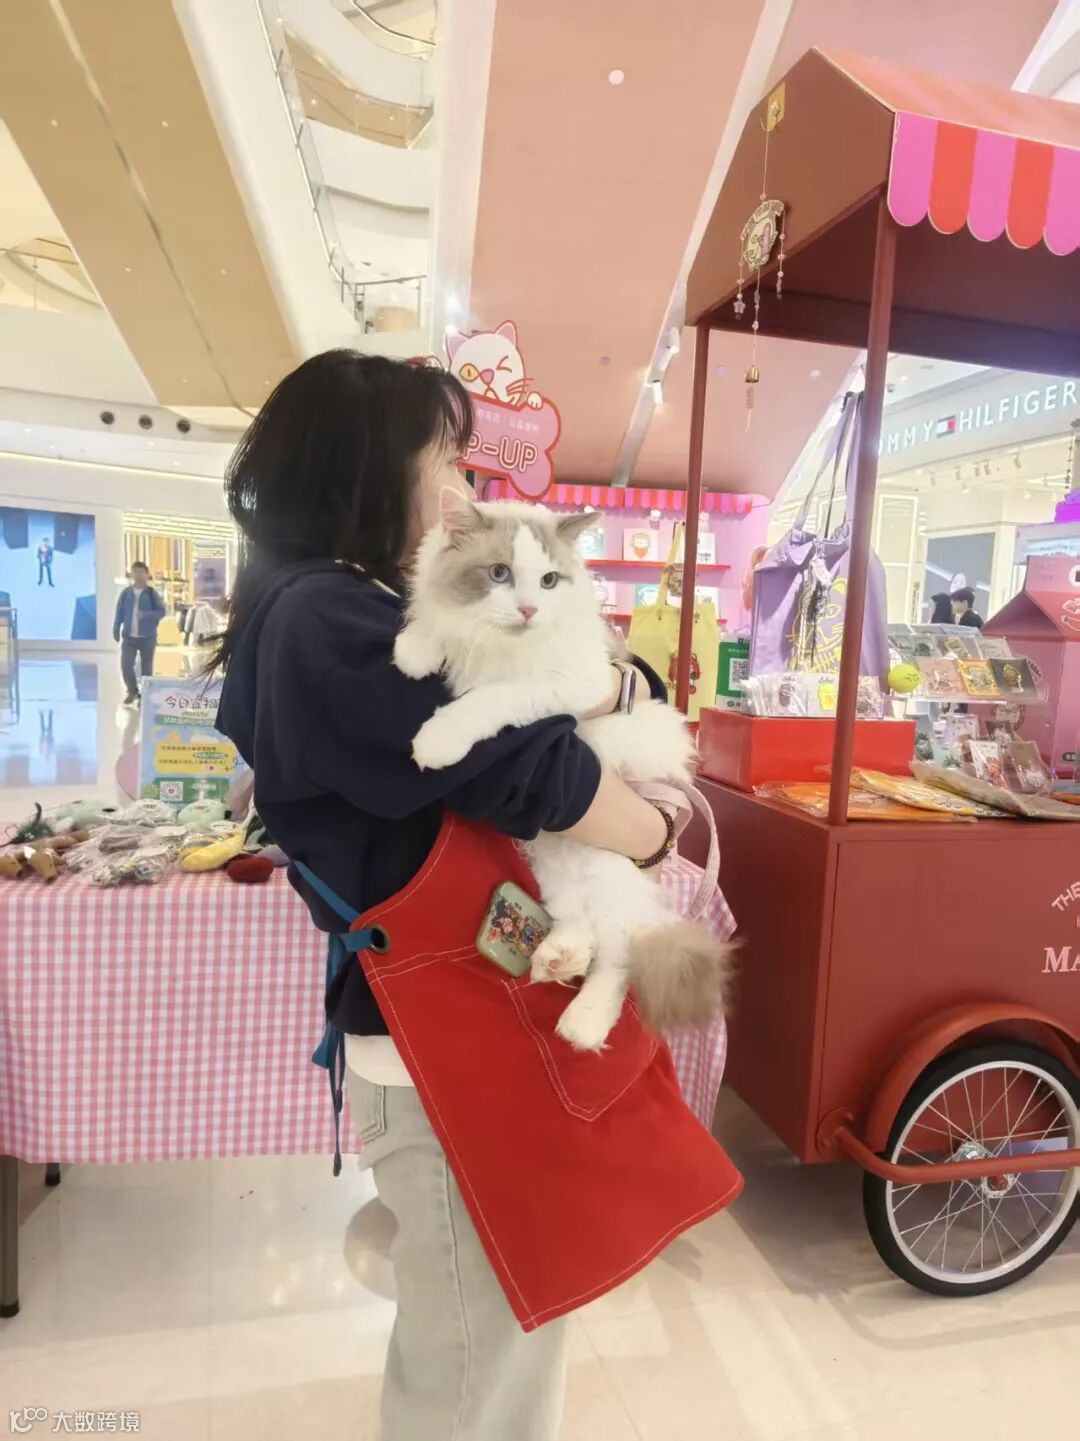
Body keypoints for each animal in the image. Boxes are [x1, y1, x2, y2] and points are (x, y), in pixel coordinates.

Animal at [393, 491, 733, 1053]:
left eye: (550, 581)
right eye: (499, 573)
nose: (529, 609)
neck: (502, 646)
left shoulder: (571, 683)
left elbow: (490, 698)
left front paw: (437, 741)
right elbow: (438, 626)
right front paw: (413, 650)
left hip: (611, 867)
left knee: (617, 952)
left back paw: (583, 1022)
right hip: (558, 856)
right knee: (581, 923)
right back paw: (558, 958)